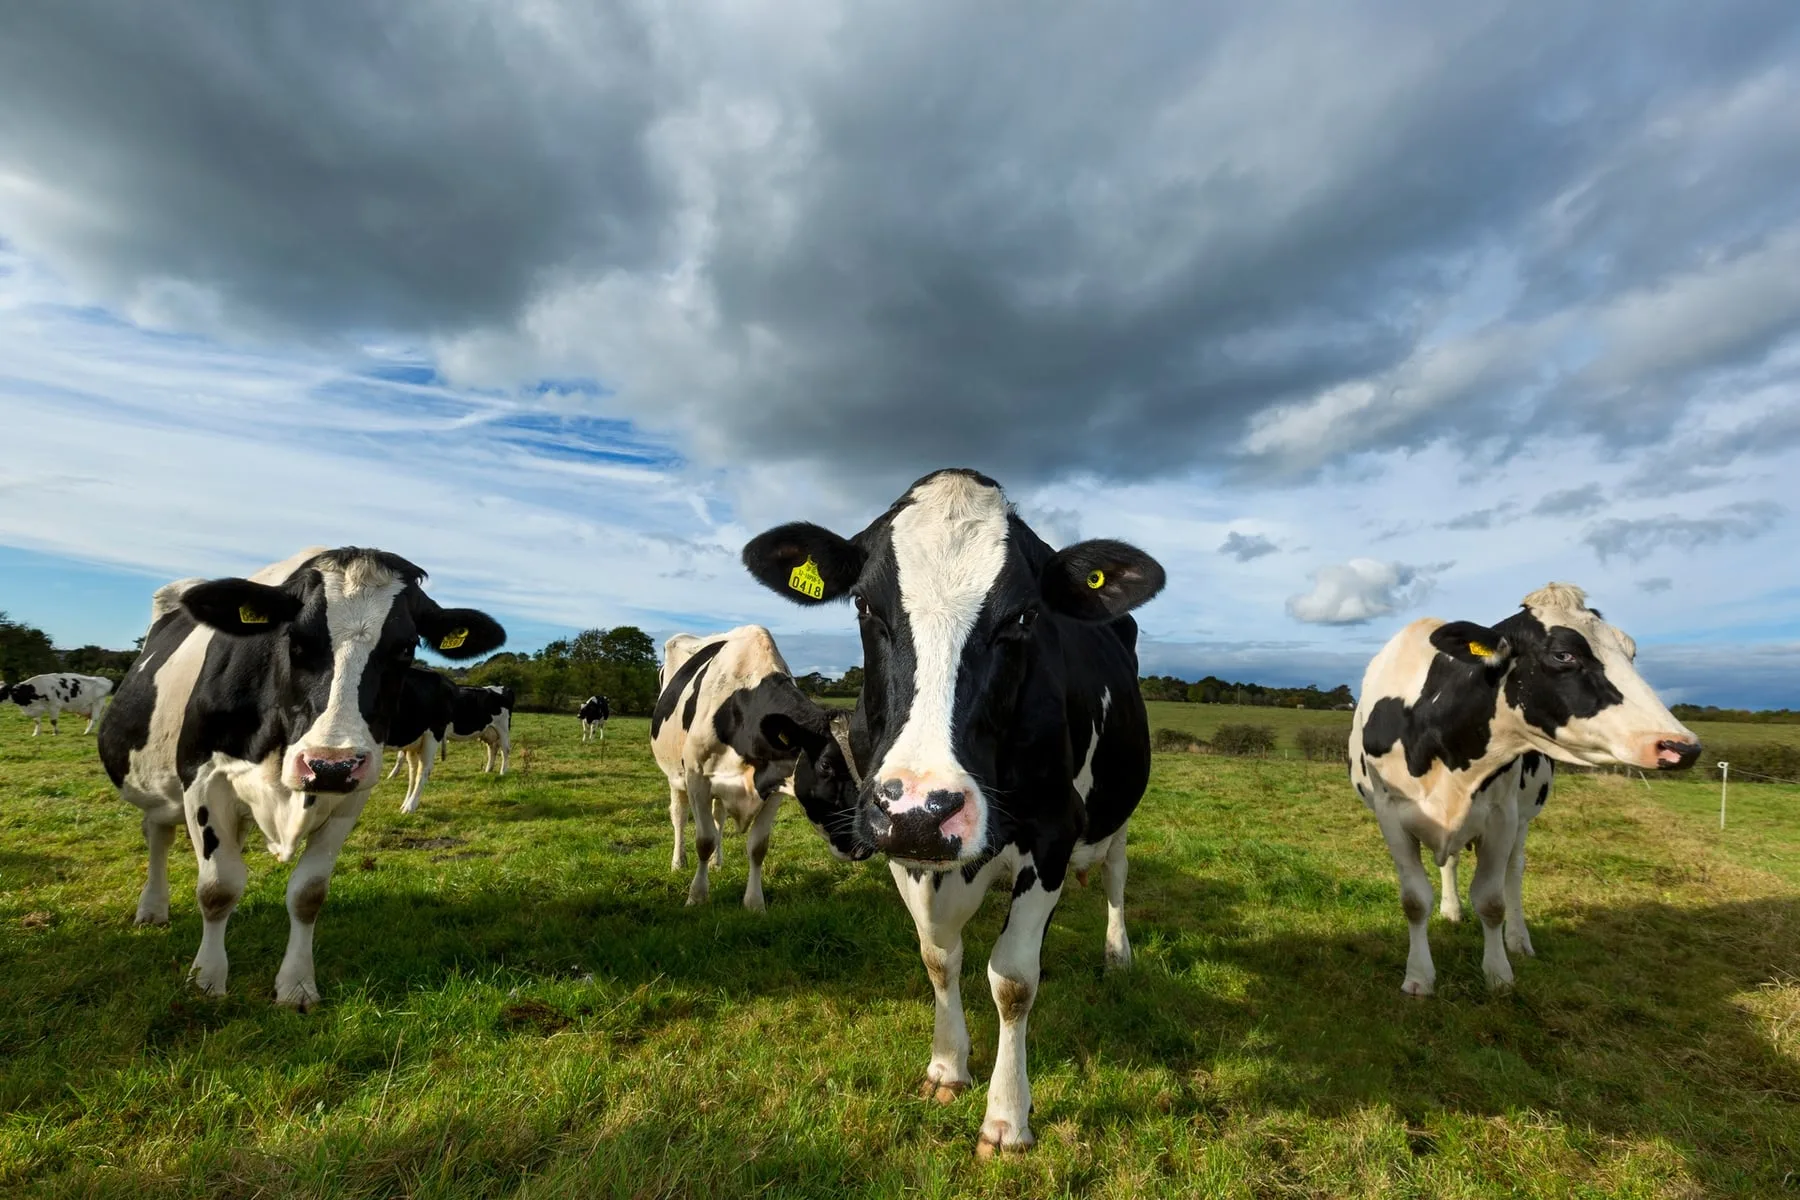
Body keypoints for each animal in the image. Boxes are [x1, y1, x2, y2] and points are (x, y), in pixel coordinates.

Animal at [383, 666, 458, 813]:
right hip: (413, 742)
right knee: (413, 771)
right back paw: (406, 803)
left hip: (432, 735)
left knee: (423, 771)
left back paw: (410, 806)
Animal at [650, 625, 844, 910]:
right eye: (826, 765)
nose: (863, 845)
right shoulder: (697, 779)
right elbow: (704, 840)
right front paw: (696, 896)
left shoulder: (775, 786)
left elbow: (757, 847)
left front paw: (754, 903)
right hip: (675, 775)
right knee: (679, 815)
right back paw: (678, 862)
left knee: (718, 817)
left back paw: (717, 862)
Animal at [742, 468, 1166, 1155]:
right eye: (865, 606)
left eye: (1024, 616)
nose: (925, 804)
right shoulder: (897, 833)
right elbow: (939, 955)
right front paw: (947, 1067)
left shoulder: (1053, 830)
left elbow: (1014, 979)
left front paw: (1007, 1118)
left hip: (1117, 812)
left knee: (1115, 876)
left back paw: (1117, 953)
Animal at [1350, 582, 1700, 997]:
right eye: (1563, 654)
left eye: (1630, 653)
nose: (1682, 746)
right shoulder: (1391, 813)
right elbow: (1415, 901)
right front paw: (1419, 976)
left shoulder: (1502, 817)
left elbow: (1492, 901)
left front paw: (1498, 973)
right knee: (1451, 862)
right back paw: (1452, 911)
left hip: (1524, 817)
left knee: (1514, 871)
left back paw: (1518, 939)